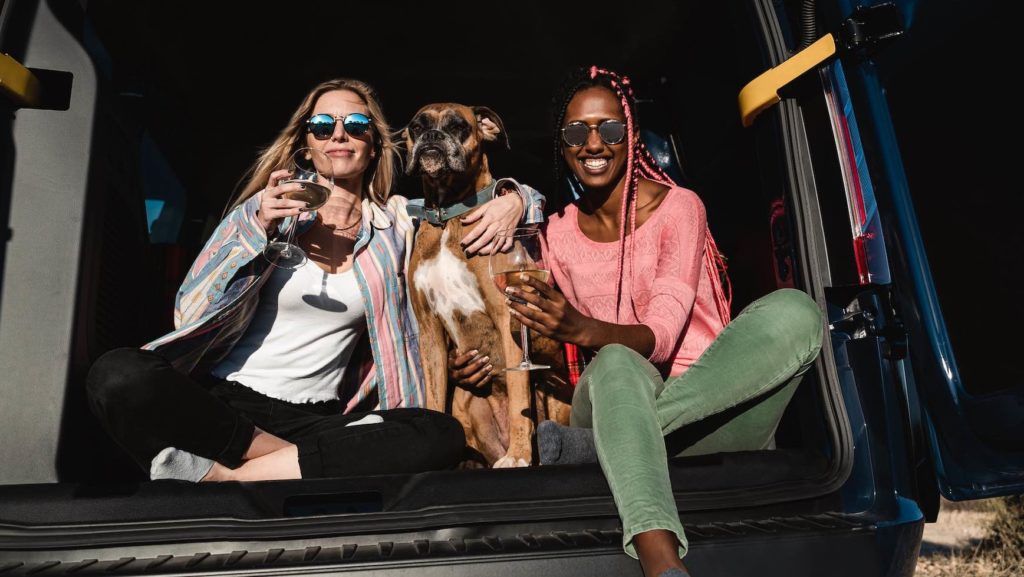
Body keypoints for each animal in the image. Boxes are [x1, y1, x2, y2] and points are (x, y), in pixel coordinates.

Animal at [403, 105, 573, 469]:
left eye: (458, 126)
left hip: (555, 393)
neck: (447, 218)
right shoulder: (429, 332)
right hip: (467, 401)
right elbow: (433, 398)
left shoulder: (508, 315)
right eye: (416, 127)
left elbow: (519, 396)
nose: (432, 137)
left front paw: (519, 455)